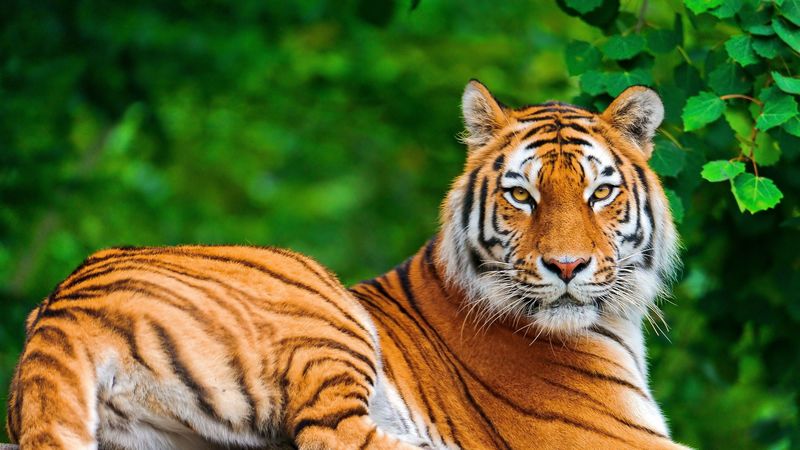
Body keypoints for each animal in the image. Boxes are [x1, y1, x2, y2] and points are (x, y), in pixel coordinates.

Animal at [5, 81, 688, 449]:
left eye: (600, 192)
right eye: (522, 195)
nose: (566, 266)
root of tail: (63, 306)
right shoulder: (612, 437)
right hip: (322, 307)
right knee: (332, 433)